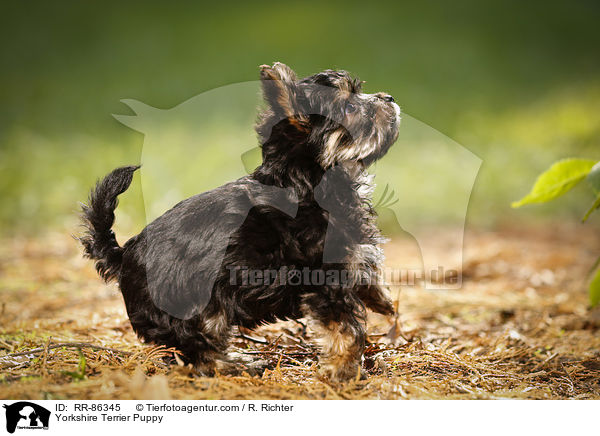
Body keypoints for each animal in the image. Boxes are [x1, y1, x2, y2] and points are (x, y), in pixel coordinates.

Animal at [78, 62, 398, 382]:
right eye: (351, 107)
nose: (390, 98)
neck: (306, 182)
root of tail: (122, 256)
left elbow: (365, 277)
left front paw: (381, 300)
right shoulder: (323, 278)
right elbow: (346, 327)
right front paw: (344, 370)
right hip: (196, 308)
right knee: (199, 354)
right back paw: (239, 364)